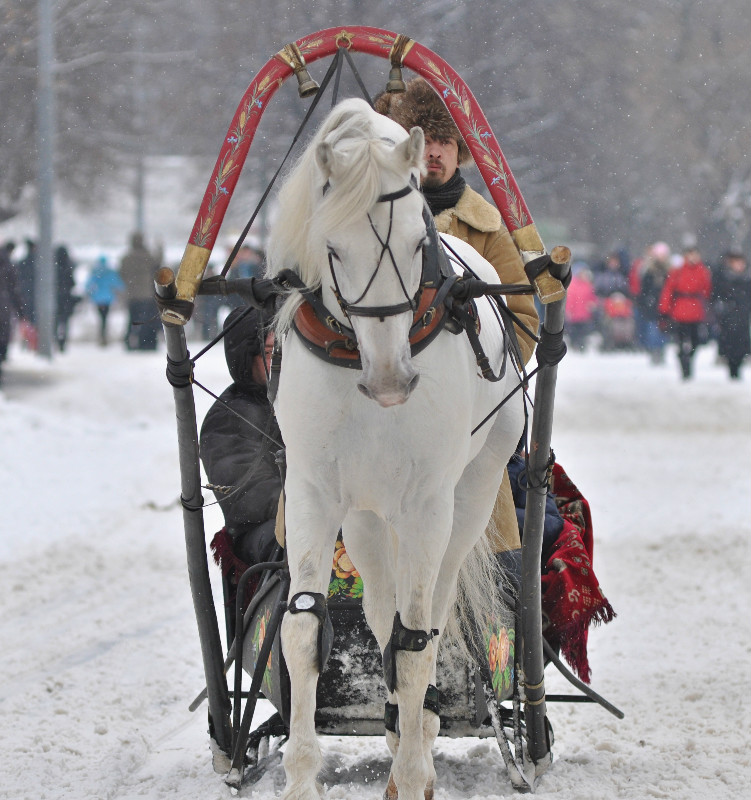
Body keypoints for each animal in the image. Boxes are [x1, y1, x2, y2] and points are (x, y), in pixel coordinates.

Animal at [268, 98, 524, 800]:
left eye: (417, 242)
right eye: (331, 247)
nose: (389, 381)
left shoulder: (430, 500)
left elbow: (415, 641)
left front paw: (413, 773)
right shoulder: (314, 490)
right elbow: (303, 629)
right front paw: (301, 778)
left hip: (470, 494)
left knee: (430, 614)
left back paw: (422, 729)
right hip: (367, 515)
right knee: (382, 610)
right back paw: (393, 723)